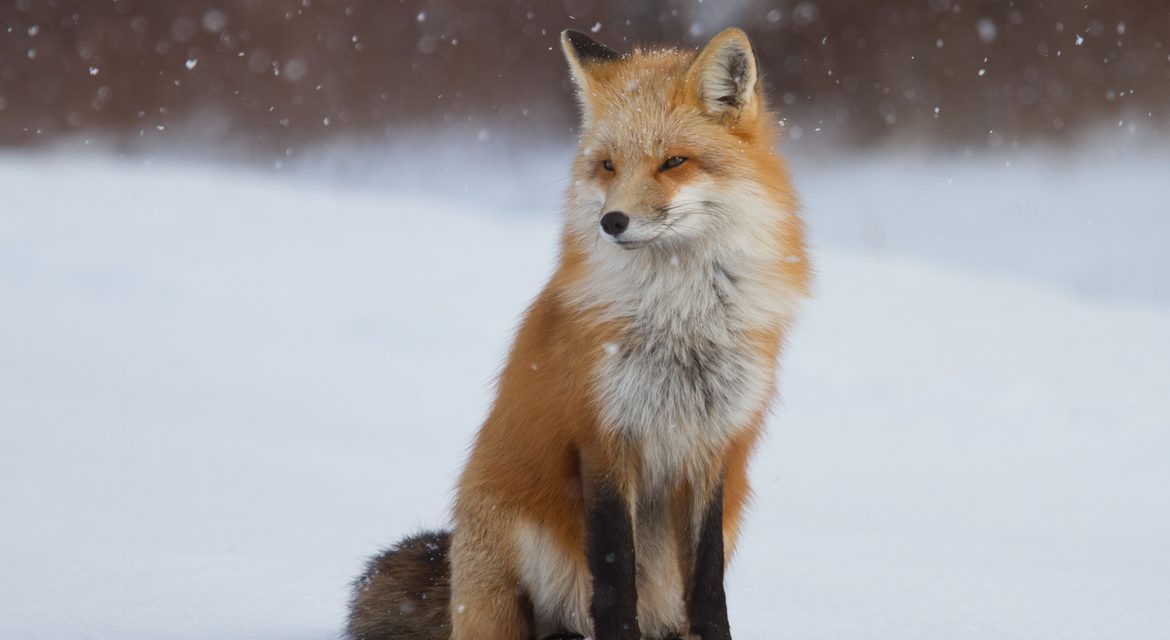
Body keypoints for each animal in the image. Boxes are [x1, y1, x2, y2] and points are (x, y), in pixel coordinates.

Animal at [347, 27, 810, 640]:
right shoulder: (602, 439)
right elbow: (614, 577)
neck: (680, 322)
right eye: (609, 166)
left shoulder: (713, 447)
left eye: (674, 162)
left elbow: (708, 586)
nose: (611, 222)